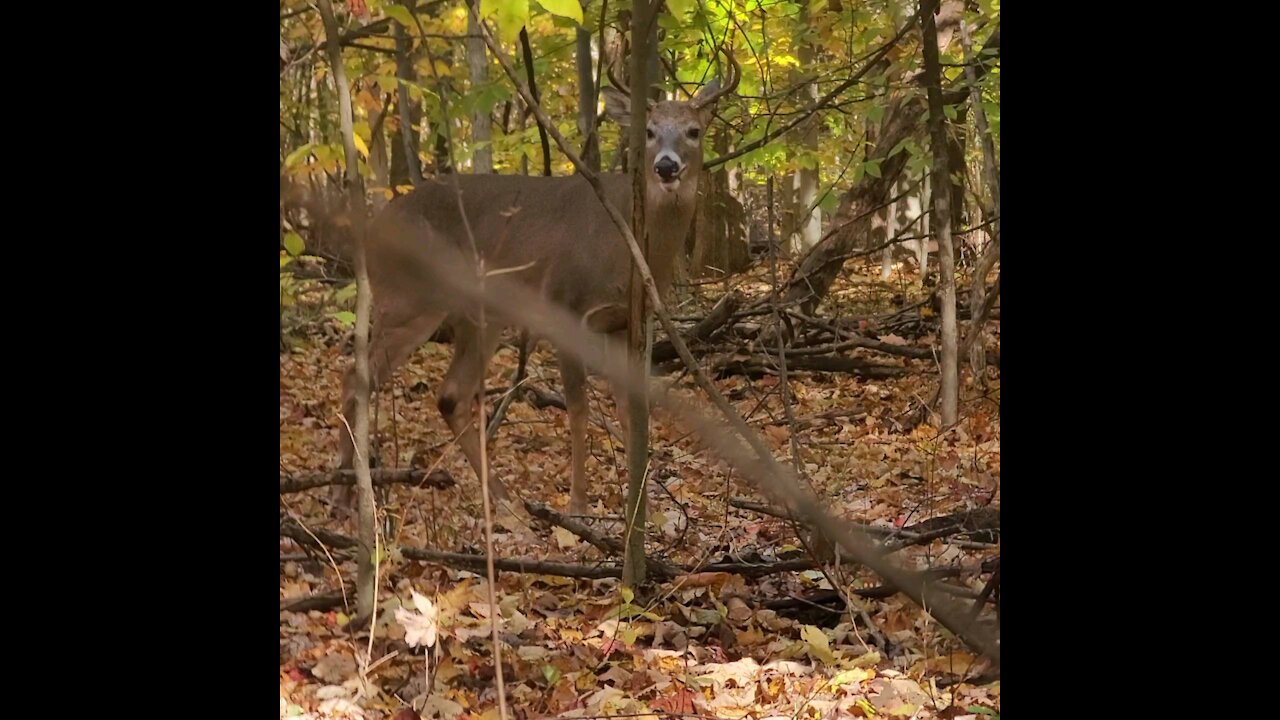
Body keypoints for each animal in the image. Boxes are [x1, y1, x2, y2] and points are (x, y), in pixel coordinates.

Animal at [332, 53, 742, 527]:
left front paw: (643, 510)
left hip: (476, 315)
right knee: (356, 379)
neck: (625, 248)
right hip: (410, 298)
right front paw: (579, 507)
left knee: (450, 395)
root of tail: (373, 229)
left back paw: (504, 500)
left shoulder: (623, 323)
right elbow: (579, 409)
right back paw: (343, 496)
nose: (666, 166)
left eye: (694, 130)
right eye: (650, 130)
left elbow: (628, 409)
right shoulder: (564, 305)